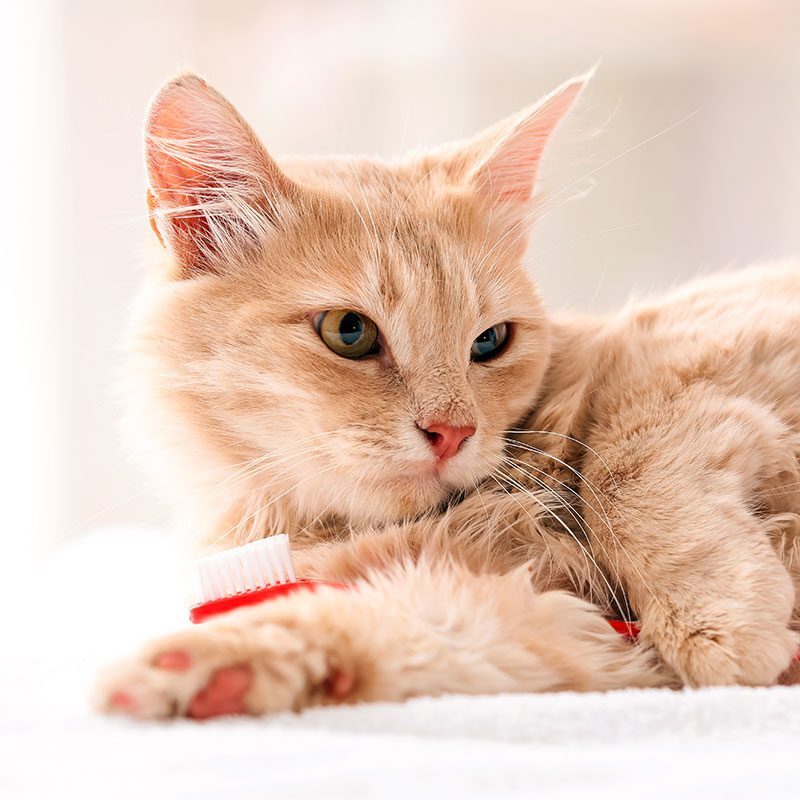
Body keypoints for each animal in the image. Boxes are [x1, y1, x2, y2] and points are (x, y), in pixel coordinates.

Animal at [95, 70, 800, 720]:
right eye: (348, 332)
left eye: (489, 341)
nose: (452, 433)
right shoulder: (553, 624)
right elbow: (393, 631)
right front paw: (215, 667)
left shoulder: (685, 362)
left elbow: (627, 475)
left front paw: (723, 625)